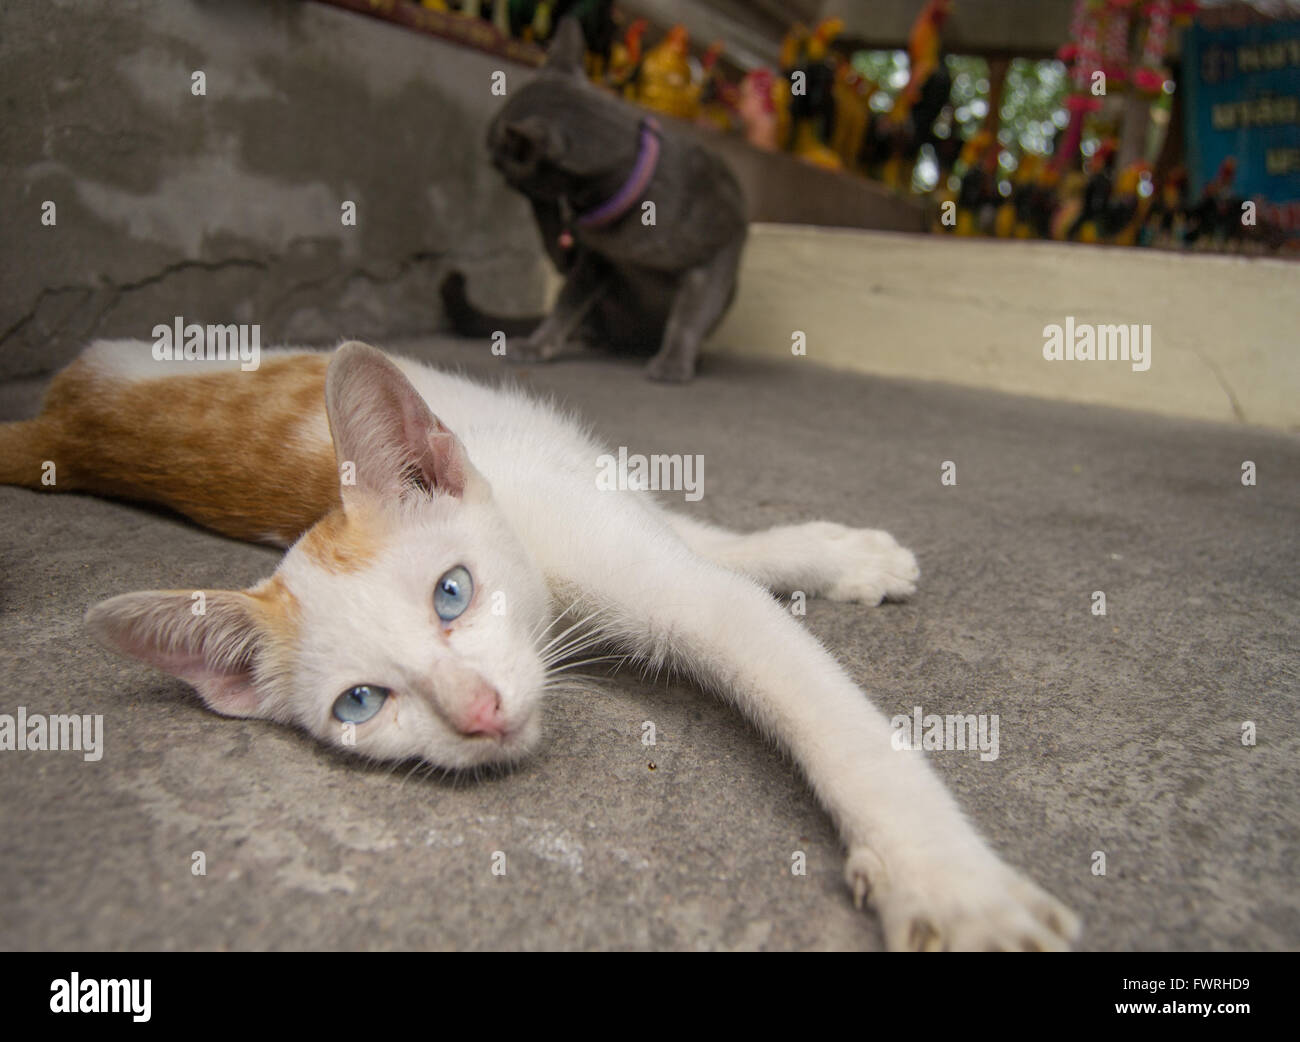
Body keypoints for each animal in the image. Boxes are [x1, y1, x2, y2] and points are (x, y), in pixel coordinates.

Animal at [449, 15, 748, 381]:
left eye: (497, 153)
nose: (487, 157)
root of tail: (631, 342)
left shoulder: (721, 247)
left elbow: (691, 314)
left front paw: (674, 361)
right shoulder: (594, 260)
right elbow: (566, 304)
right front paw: (538, 344)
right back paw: (594, 338)